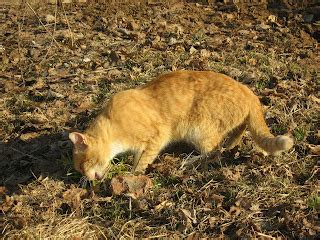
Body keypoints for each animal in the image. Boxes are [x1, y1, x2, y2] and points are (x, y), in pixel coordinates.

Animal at [69, 71, 294, 180]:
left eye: (81, 166)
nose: (86, 179)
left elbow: (142, 161)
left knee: (214, 152)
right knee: (233, 138)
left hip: (200, 130)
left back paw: (187, 162)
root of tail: (249, 92)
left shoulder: (157, 136)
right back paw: (230, 146)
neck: (113, 125)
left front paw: (132, 175)